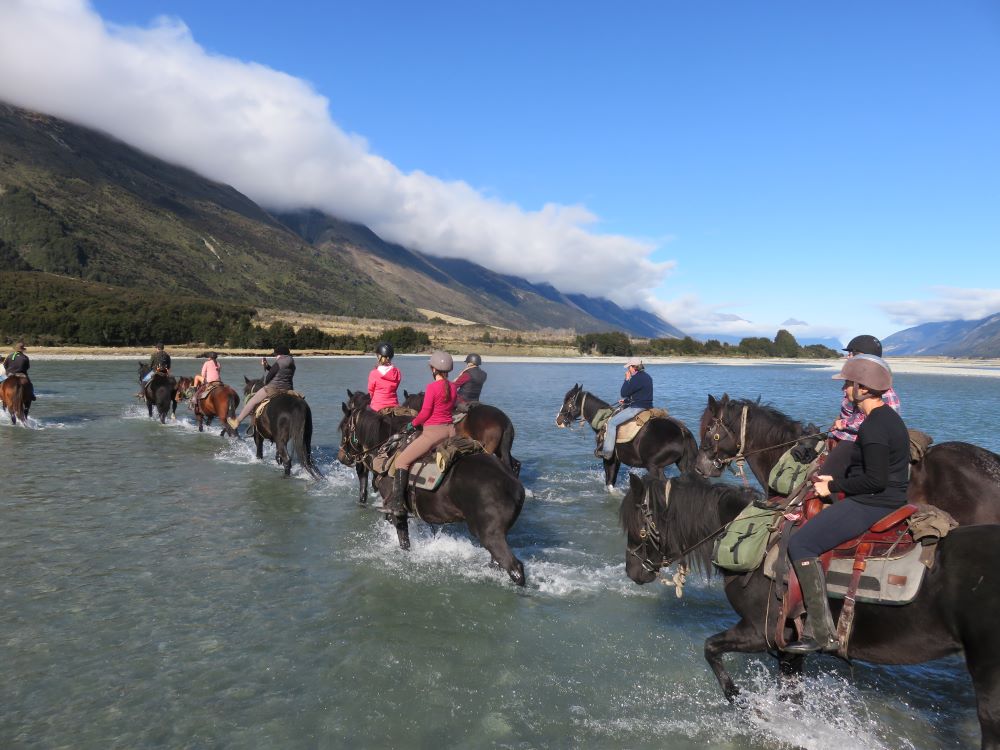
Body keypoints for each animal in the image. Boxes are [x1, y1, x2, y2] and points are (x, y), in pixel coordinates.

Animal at [336, 400, 528, 588]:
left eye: (344, 428)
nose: (341, 457)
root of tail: (514, 486)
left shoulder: (396, 511)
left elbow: (404, 542)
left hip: (490, 535)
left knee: (515, 568)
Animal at [552, 382, 700, 494]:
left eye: (568, 401)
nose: (558, 420)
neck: (603, 421)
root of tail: (682, 431)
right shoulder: (616, 460)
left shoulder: (609, 458)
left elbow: (610, 483)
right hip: (682, 464)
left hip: (653, 466)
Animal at [616, 472, 1000, 748]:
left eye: (637, 527)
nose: (633, 572)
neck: (754, 540)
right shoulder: (790, 644)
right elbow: (792, 695)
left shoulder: (762, 632)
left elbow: (711, 649)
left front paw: (745, 704)